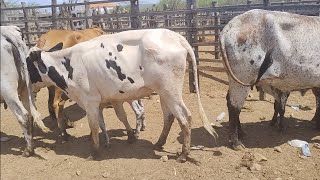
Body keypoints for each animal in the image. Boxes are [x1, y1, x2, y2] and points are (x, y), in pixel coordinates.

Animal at [26, 28, 218, 162]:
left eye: (26, 63)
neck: (67, 65)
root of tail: (175, 36)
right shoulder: (108, 99)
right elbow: (114, 119)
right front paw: (125, 137)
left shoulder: (89, 101)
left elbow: (94, 126)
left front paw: (94, 152)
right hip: (164, 92)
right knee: (169, 117)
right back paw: (159, 142)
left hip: (171, 91)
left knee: (185, 118)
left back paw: (184, 154)